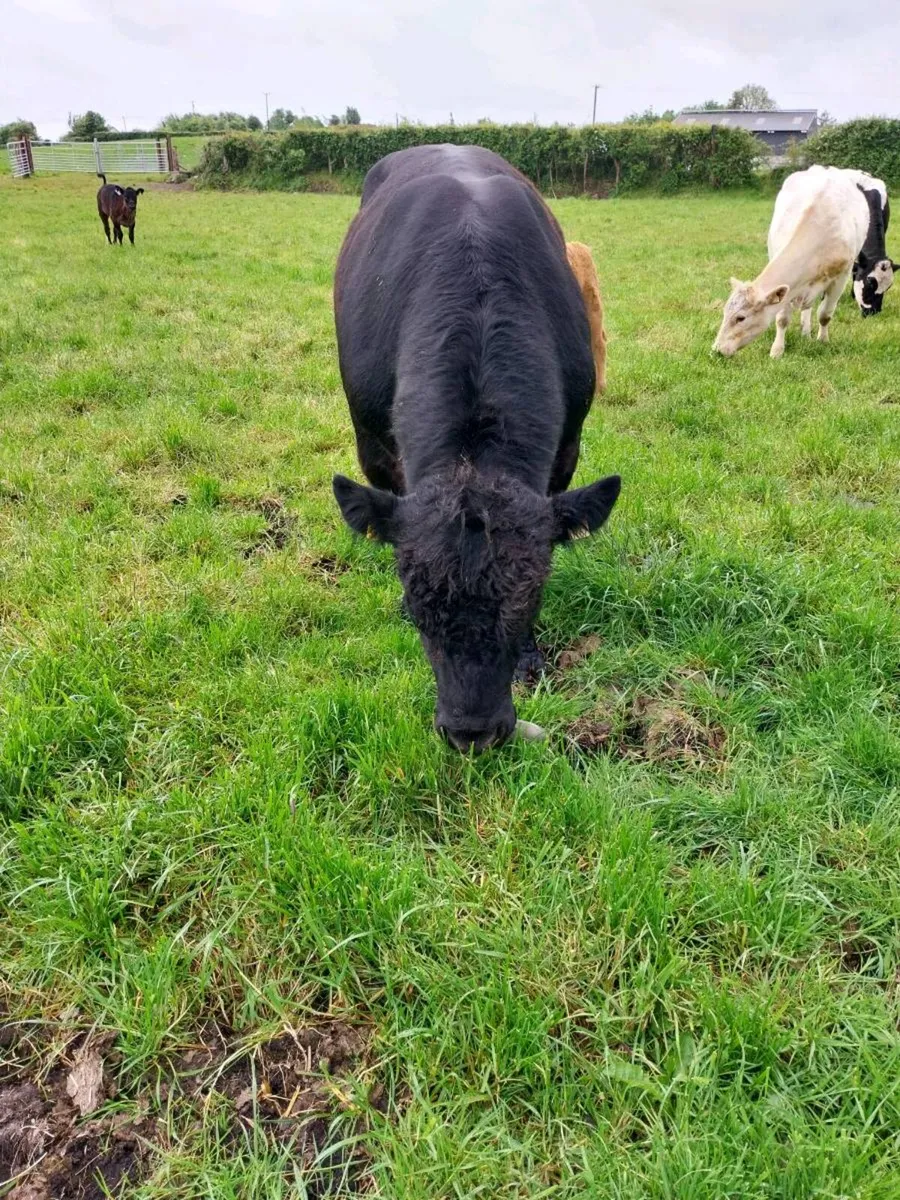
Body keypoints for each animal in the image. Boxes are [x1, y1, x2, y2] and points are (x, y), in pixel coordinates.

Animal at [714, 165, 869, 359]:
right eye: (724, 312)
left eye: (740, 317)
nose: (717, 349)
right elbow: (782, 319)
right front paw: (777, 350)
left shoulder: (841, 277)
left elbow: (825, 314)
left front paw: (823, 340)